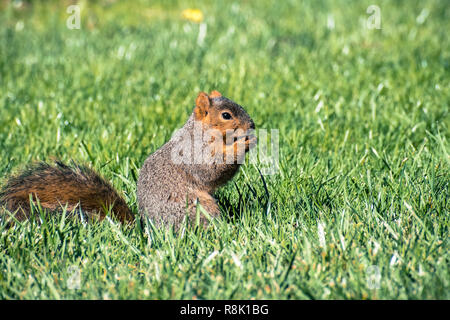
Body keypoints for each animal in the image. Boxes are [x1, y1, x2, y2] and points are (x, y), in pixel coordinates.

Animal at [0, 91, 255, 229]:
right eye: (226, 115)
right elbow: (211, 170)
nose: (252, 125)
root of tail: (147, 229)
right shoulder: (193, 152)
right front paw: (242, 145)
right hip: (196, 207)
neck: (203, 132)